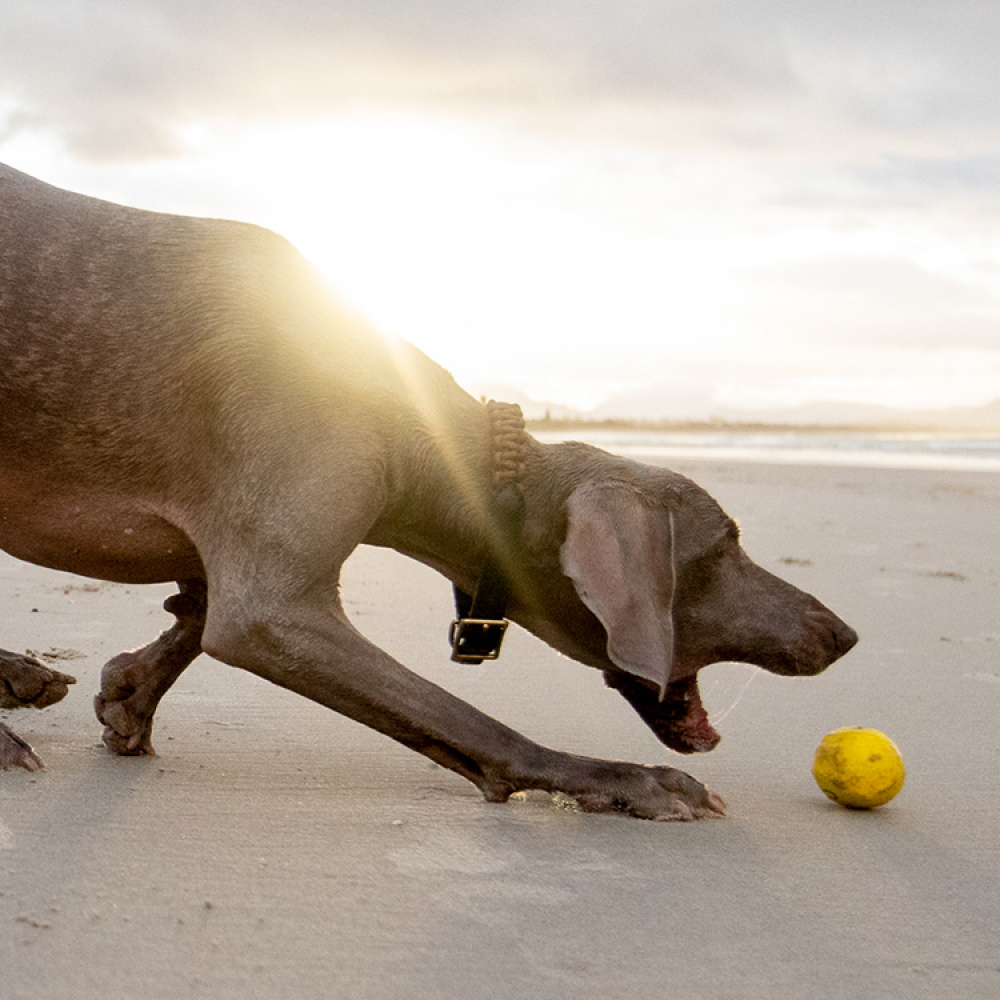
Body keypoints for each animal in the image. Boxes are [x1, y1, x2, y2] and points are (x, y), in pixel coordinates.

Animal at [1, 166, 860, 820]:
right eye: (726, 545)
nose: (843, 633)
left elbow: (199, 603)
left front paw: (130, 692)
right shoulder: (276, 610)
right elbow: (465, 719)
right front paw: (623, 783)